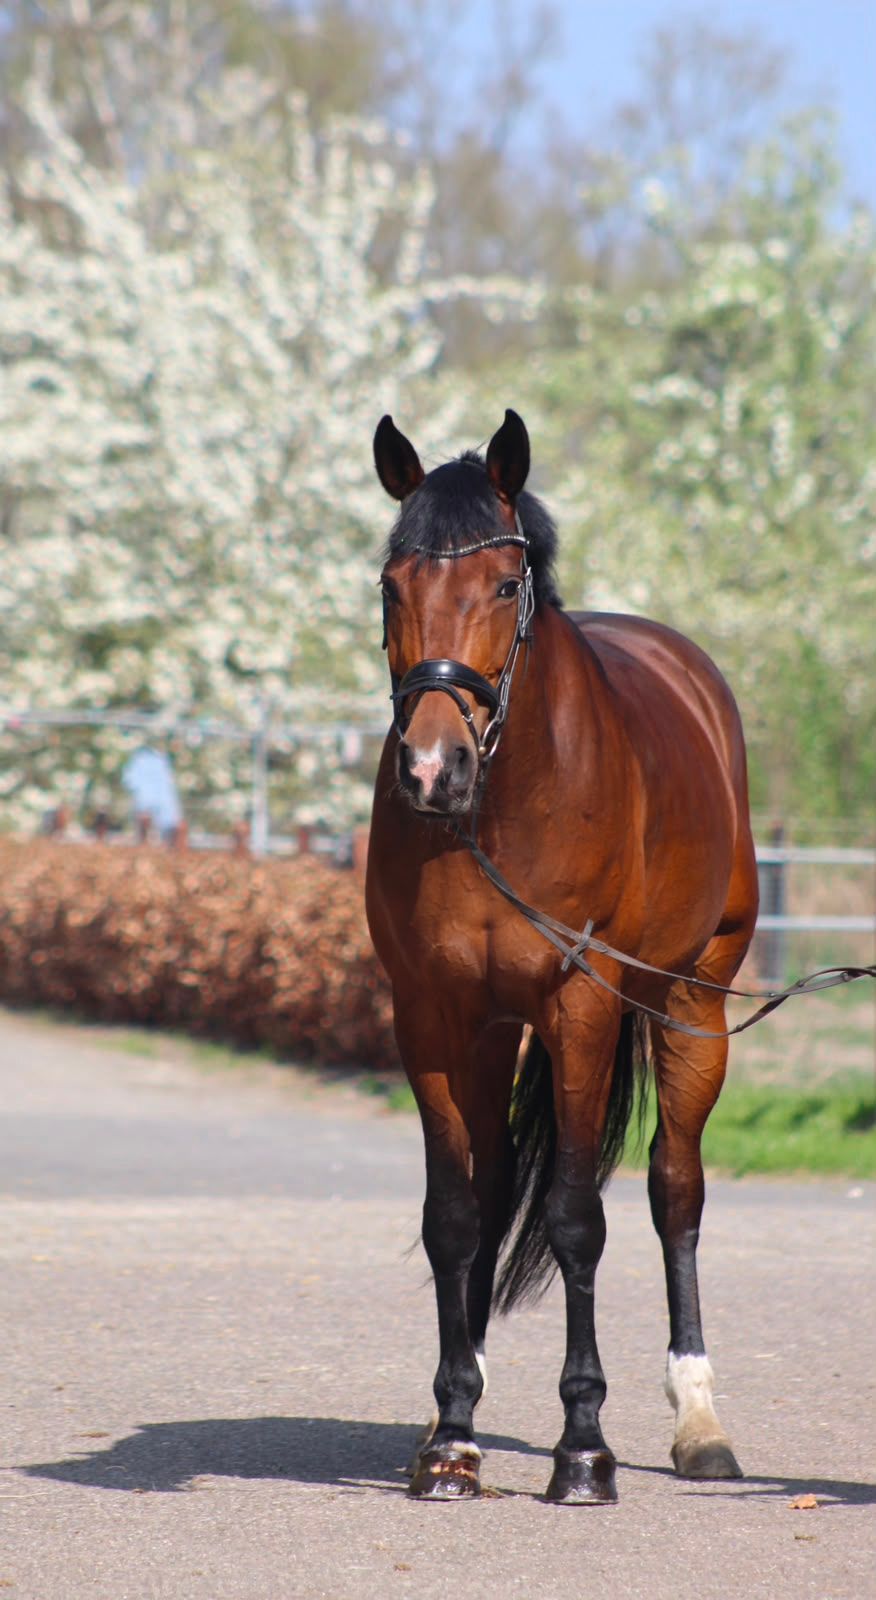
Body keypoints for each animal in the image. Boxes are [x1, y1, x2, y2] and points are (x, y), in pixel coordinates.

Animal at [365, 408, 759, 1503]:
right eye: (392, 585)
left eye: (506, 585)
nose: (431, 768)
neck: (502, 805)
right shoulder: (437, 1015)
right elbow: (457, 1213)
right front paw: (450, 1435)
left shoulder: (582, 1003)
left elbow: (581, 1214)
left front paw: (584, 1446)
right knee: (500, 1188)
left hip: (692, 1006)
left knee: (675, 1189)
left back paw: (699, 1421)